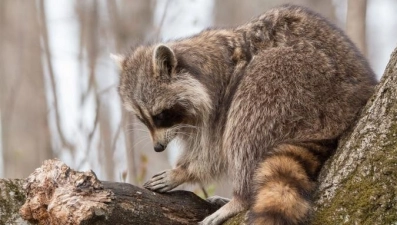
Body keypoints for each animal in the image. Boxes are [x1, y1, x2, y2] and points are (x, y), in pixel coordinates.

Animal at [113, 3, 374, 225]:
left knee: (250, 113)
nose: (158, 148)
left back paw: (241, 198)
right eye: (143, 119)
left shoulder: (219, 97)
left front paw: (184, 171)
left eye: (160, 116)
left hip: (302, 81)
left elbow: (214, 151)